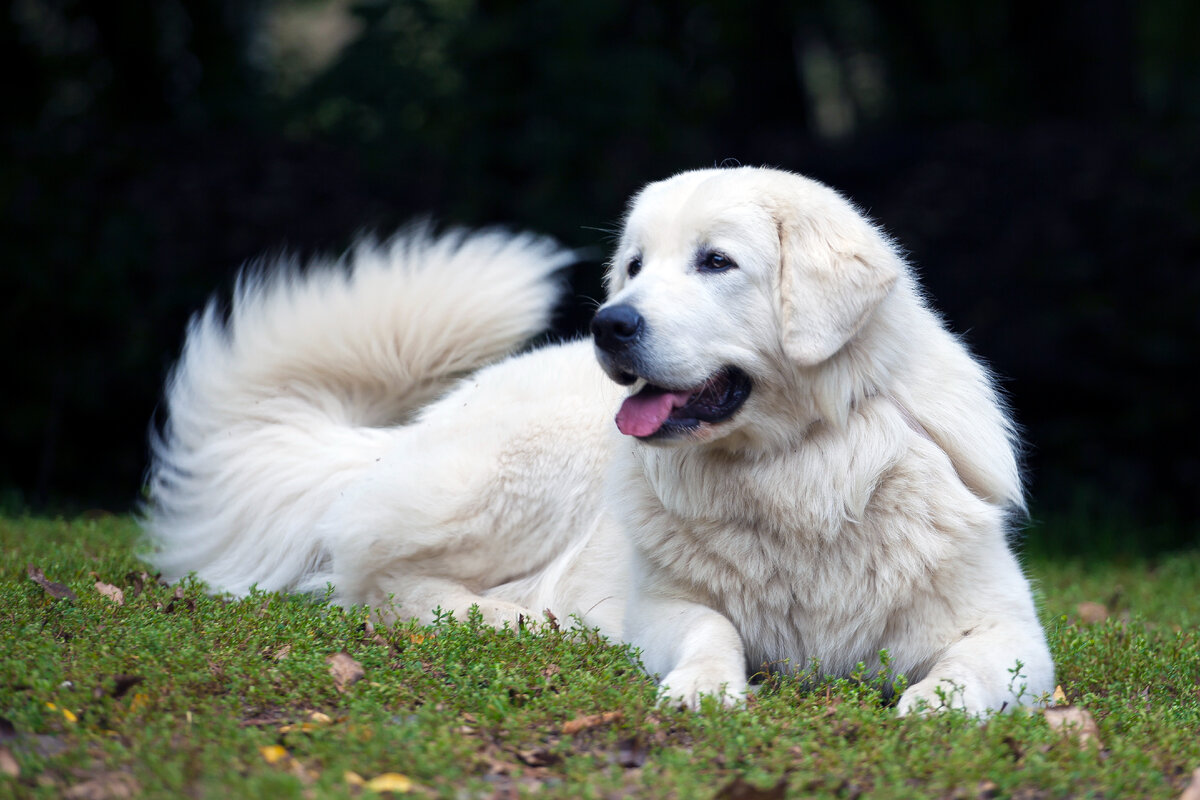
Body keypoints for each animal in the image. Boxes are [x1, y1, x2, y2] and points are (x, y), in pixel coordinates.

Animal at [145, 167, 1056, 714]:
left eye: (716, 262)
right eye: (636, 266)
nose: (609, 324)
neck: (793, 469)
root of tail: (405, 433)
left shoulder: (1013, 636)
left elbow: (968, 671)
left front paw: (934, 706)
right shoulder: (665, 605)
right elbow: (712, 631)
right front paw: (703, 688)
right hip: (521, 476)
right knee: (373, 578)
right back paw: (513, 620)